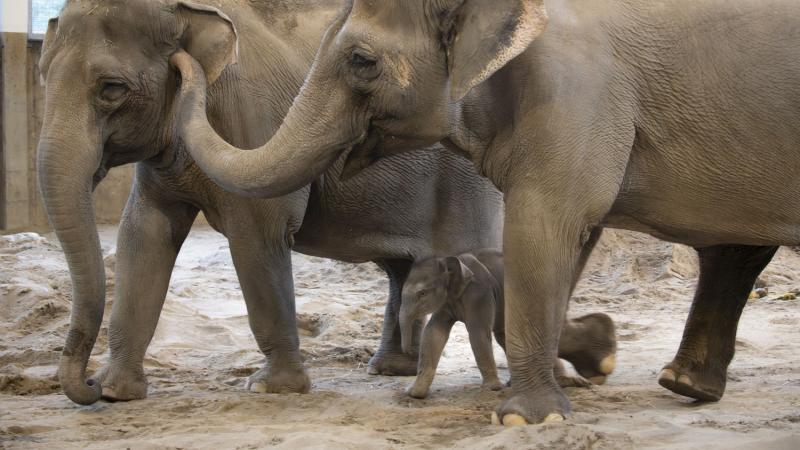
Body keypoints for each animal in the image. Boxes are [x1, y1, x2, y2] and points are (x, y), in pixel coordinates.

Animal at [400, 250, 612, 400]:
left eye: (422, 293)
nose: (409, 351)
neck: (453, 258)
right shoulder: (447, 302)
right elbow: (434, 334)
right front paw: (414, 392)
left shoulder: (480, 293)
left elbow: (478, 333)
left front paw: (492, 389)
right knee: (508, 337)